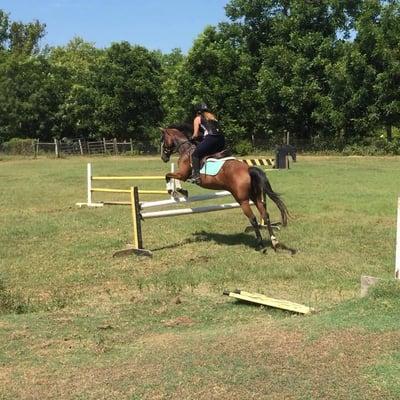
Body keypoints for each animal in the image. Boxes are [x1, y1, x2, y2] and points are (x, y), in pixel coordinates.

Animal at [161, 125, 292, 252]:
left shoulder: (183, 175)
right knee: (265, 215)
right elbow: (171, 177)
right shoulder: (183, 175)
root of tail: (248, 169)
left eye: (162, 140)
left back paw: (260, 245)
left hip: (242, 200)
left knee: (253, 219)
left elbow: (168, 176)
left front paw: (175, 191)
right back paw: (274, 242)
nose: (163, 158)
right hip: (254, 197)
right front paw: (178, 191)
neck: (185, 149)